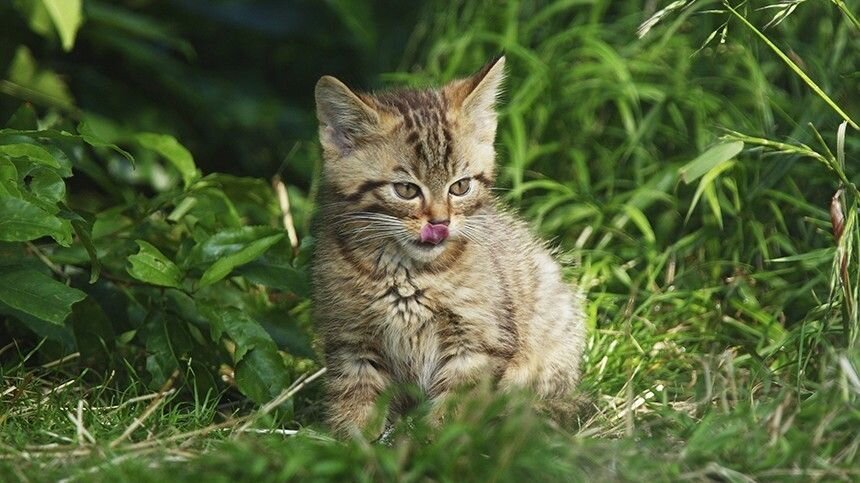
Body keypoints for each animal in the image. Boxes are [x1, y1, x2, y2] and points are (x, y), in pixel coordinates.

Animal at [312, 57, 588, 438]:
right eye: (406, 190)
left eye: (460, 187)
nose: (440, 223)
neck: (408, 273)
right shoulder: (351, 340)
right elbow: (355, 401)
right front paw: (353, 443)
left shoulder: (479, 342)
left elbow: (456, 405)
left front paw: (435, 443)